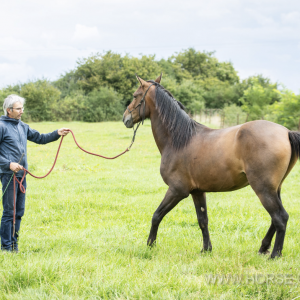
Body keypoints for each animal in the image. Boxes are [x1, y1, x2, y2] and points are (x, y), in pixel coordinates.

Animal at [122, 74, 300, 258]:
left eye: (135, 96)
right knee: (275, 218)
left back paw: (275, 254)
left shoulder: (177, 190)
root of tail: (286, 132)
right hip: (274, 189)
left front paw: (150, 245)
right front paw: (206, 249)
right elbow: (203, 220)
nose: (125, 117)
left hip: (263, 189)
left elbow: (157, 215)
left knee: (280, 217)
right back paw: (263, 248)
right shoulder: (197, 191)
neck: (179, 140)